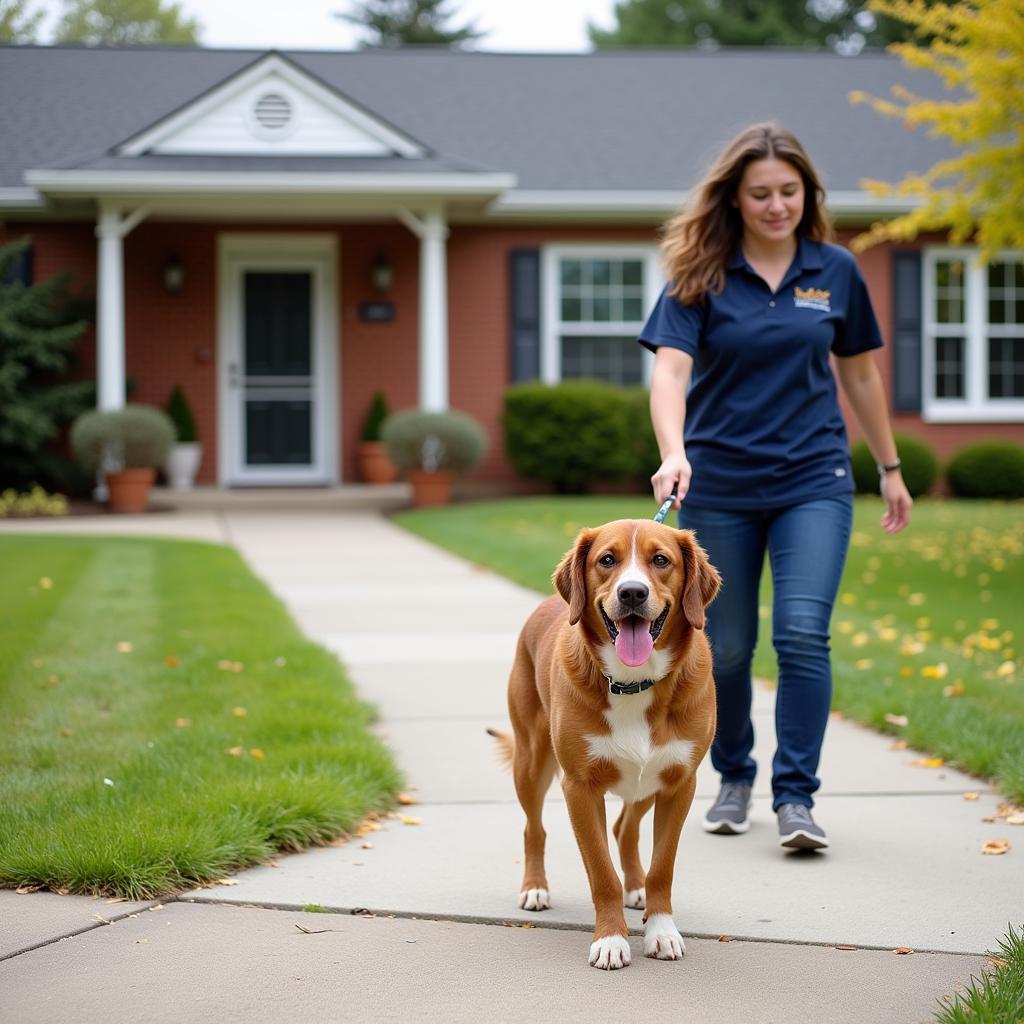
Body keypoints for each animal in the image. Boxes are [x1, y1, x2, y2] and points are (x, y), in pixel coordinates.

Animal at [489, 520, 720, 966]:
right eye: (607, 560)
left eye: (660, 560)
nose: (632, 593)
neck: (635, 682)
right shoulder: (579, 787)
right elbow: (600, 873)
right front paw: (611, 939)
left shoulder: (680, 784)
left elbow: (662, 866)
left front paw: (661, 929)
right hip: (532, 761)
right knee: (533, 828)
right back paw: (535, 888)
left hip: (646, 783)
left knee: (624, 828)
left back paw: (637, 887)